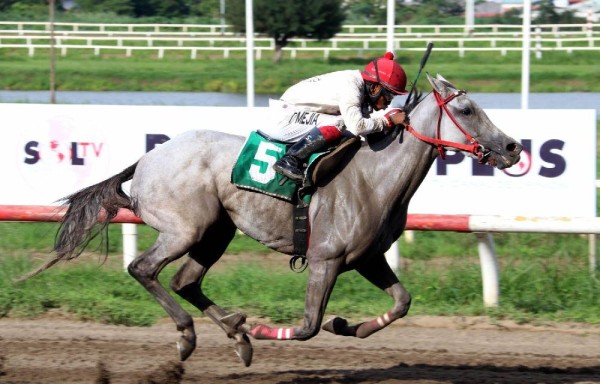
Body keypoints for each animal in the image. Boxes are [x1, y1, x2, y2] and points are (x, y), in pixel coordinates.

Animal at [23, 74, 520, 366]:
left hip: (217, 231)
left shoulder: (367, 257)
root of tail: (147, 158)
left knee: (186, 280)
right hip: (186, 228)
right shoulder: (325, 259)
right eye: (467, 110)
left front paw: (349, 326)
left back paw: (235, 335)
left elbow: (401, 302)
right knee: (144, 269)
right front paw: (263, 327)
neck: (373, 177)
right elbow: (307, 326)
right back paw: (191, 335)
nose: (513, 147)